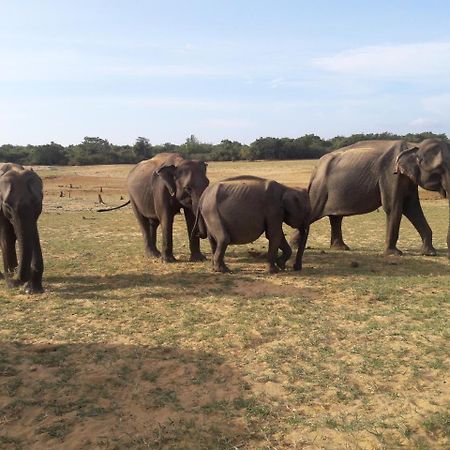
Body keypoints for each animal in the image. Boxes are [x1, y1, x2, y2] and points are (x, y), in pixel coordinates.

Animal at [0, 163, 44, 294]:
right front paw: (12, 284)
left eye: (37, 203)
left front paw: (33, 289)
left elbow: (33, 234)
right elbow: (7, 237)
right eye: (7, 206)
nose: (23, 281)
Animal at [290, 137, 448, 256]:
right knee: (313, 212)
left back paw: (341, 248)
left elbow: (412, 208)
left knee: (336, 217)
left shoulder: (407, 180)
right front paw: (394, 254)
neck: (413, 145)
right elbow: (393, 207)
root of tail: (316, 168)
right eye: (440, 168)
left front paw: (429, 253)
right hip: (319, 189)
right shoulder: (390, 175)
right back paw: (295, 246)